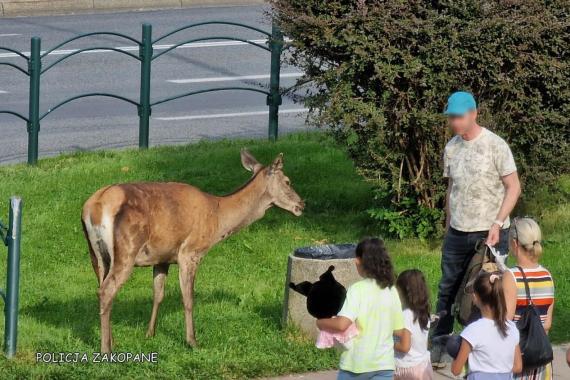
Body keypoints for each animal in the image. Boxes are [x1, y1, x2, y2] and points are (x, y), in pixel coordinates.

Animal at [81, 149, 302, 354]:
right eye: (288, 181)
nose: (302, 204)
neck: (218, 217)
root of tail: (95, 207)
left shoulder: (162, 257)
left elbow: (158, 294)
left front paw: (150, 333)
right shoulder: (190, 252)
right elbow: (188, 297)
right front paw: (193, 341)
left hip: (96, 255)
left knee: (101, 288)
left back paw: (112, 341)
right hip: (127, 248)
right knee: (107, 290)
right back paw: (106, 349)